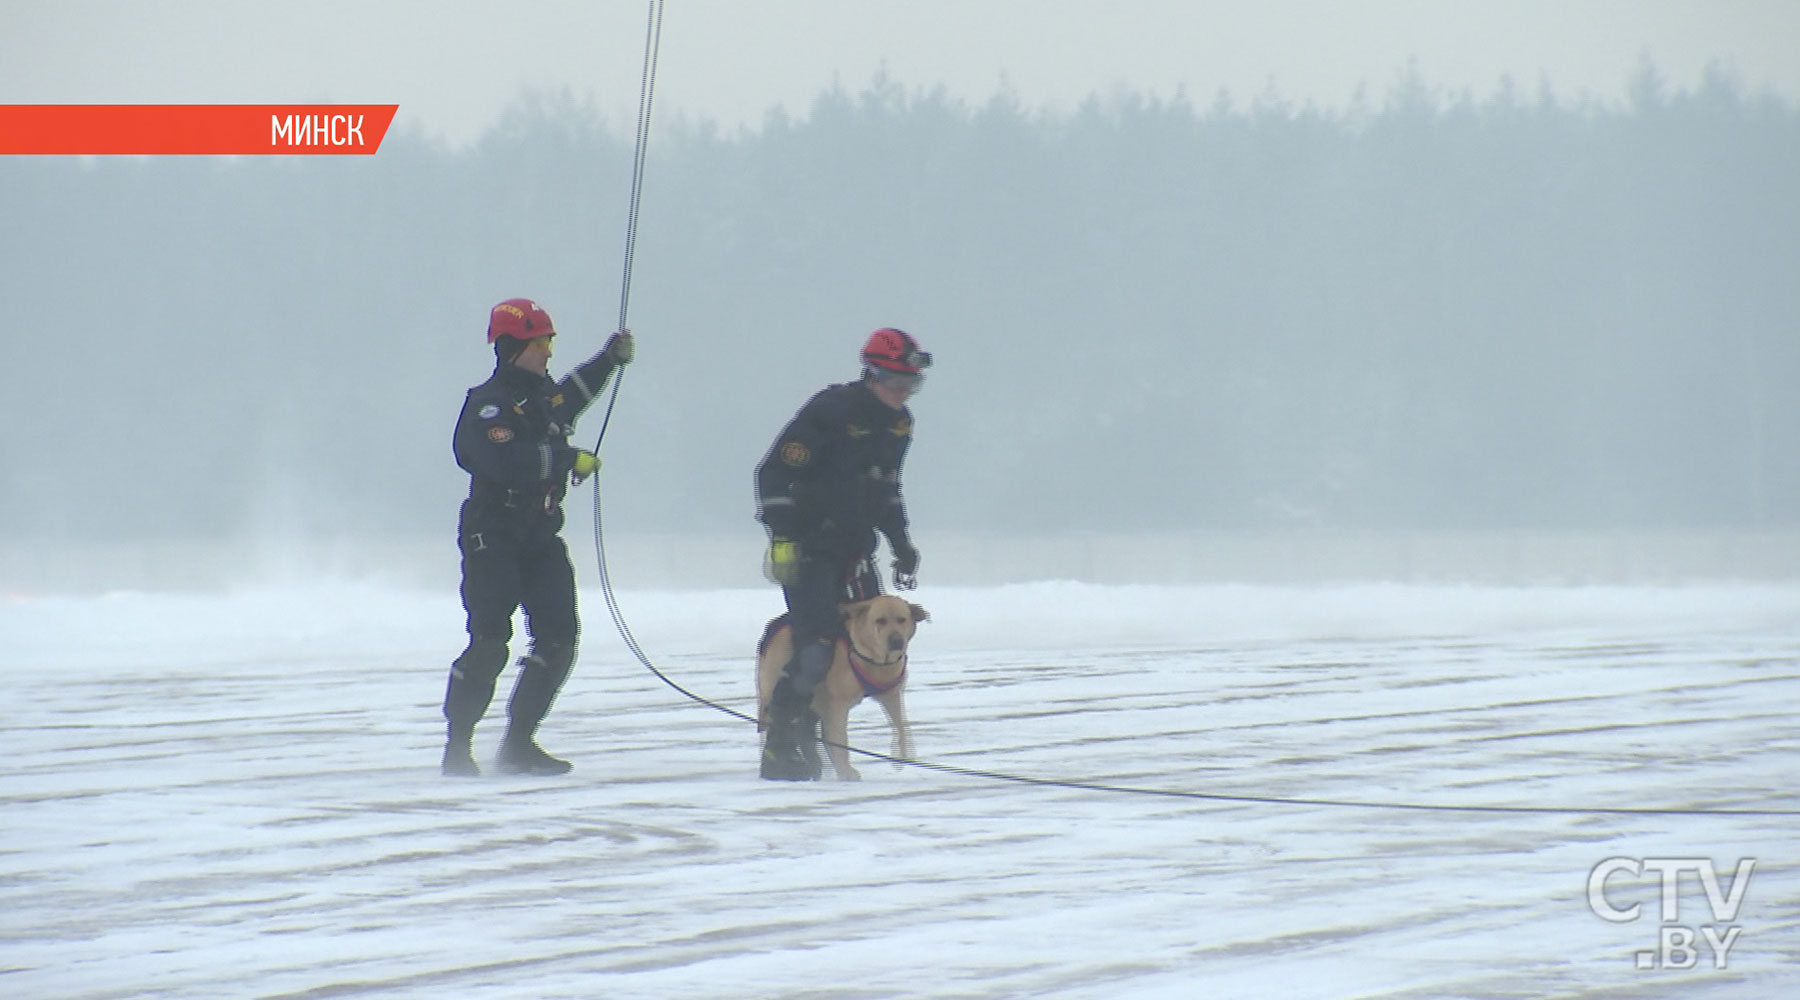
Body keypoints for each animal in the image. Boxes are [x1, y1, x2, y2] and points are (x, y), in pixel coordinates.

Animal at [756, 593, 936, 780]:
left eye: (902, 619)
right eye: (880, 620)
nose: (896, 640)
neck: (875, 661)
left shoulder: (891, 695)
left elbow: (902, 726)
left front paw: (902, 755)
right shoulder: (839, 704)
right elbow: (840, 739)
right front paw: (845, 771)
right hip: (777, 685)